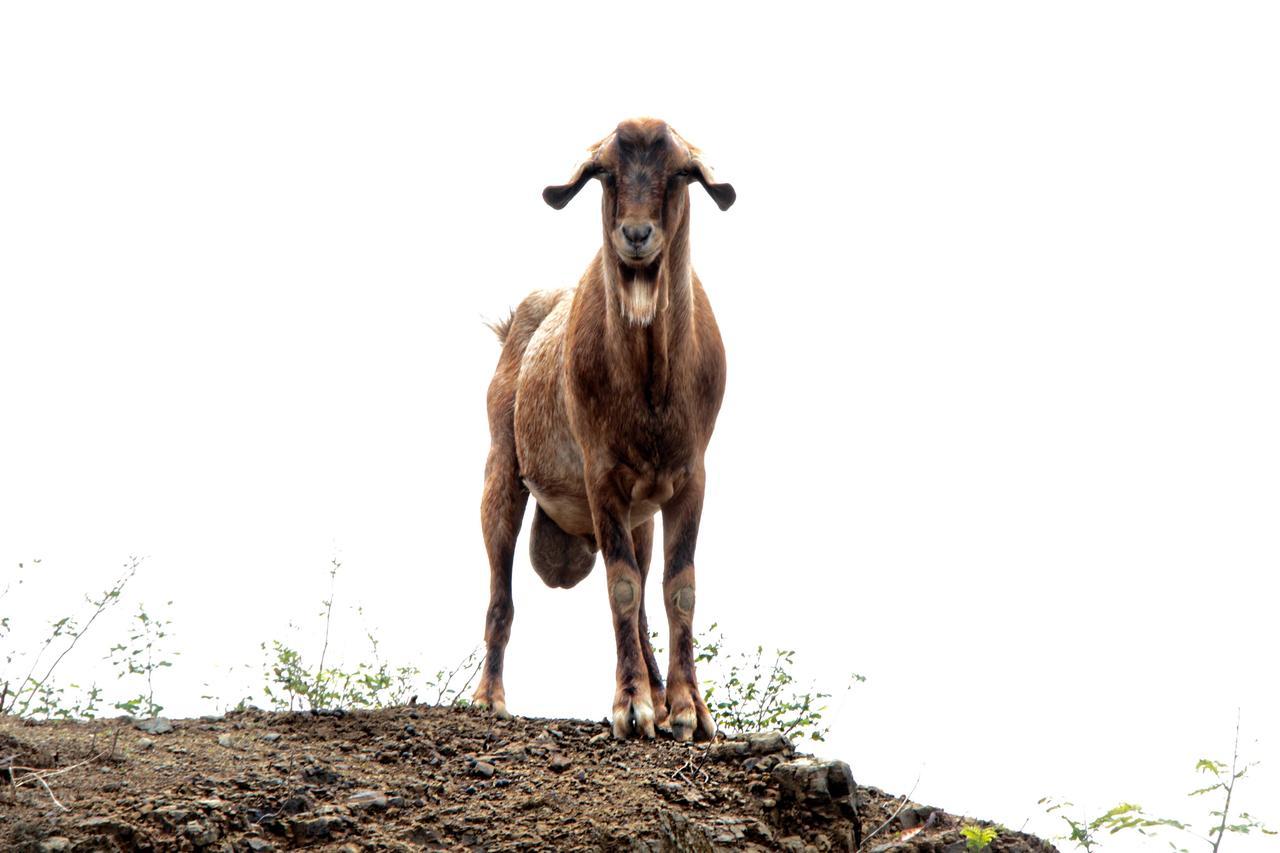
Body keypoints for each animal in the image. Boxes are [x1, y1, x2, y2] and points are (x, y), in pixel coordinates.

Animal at [473, 117, 737, 737]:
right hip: (503, 468)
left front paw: (688, 712)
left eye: (680, 173)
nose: (636, 235)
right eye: (605, 173)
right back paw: (489, 698)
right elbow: (620, 586)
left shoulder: (689, 477)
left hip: (642, 513)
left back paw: (661, 695)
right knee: (502, 591)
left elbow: (677, 589)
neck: (651, 385)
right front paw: (631, 707)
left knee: (642, 602)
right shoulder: (601, 476)